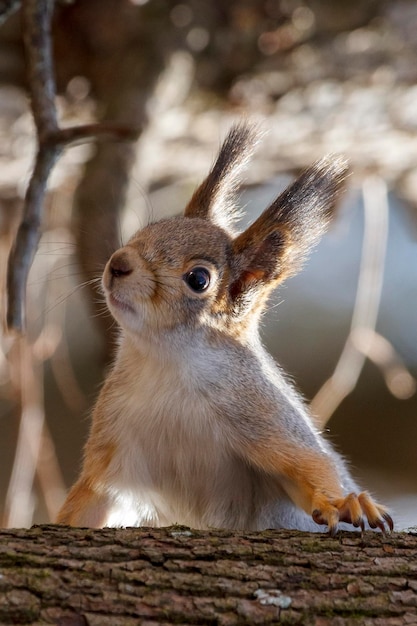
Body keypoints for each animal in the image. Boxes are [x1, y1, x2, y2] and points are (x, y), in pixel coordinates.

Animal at [57, 124, 394, 532]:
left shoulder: (264, 417)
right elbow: (91, 501)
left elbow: (311, 469)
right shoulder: (116, 446)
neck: (167, 363)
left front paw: (343, 502)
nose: (118, 263)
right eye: (151, 227)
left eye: (198, 279)